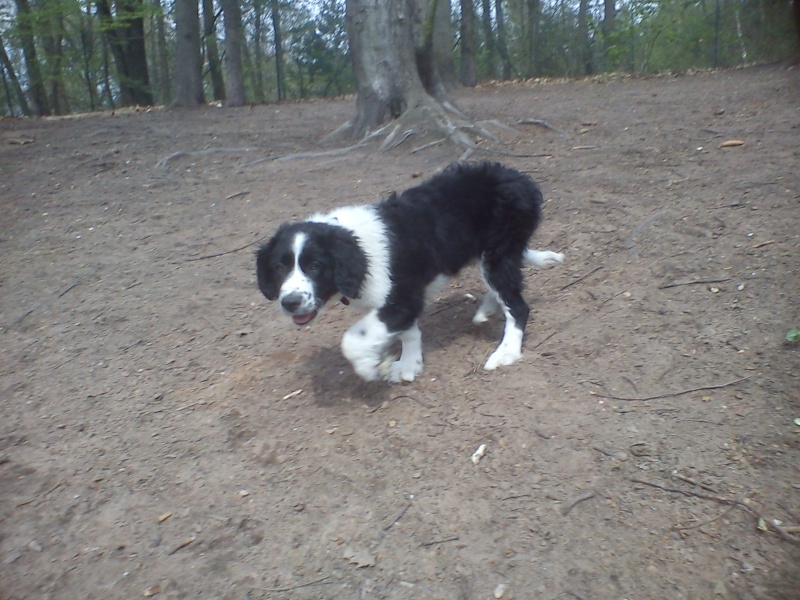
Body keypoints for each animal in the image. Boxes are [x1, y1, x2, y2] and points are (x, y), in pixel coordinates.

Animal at [256, 162, 564, 382]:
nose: (290, 303)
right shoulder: (402, 302)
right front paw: (409, 364)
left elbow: (353, 340)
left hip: (498, 253)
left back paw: (507, 352)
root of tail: (521, 180)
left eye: (315, 266)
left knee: (517, 305)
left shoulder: (402, 298)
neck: (356, 247)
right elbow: (408, 331)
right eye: (280, 268)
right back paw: (487, 310)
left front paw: (372, 367)